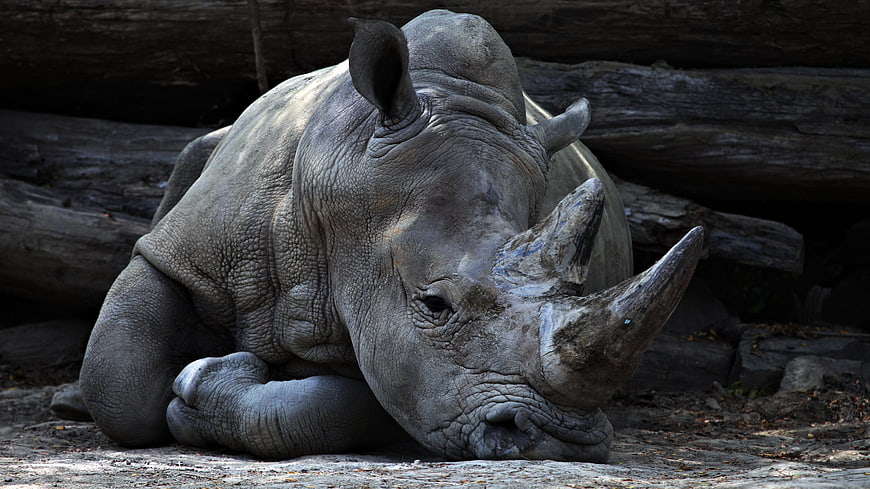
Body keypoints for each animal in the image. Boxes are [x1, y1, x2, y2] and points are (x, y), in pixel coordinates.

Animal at [76, 9, 703, 462]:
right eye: (434, 304)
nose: (558, 441)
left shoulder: (406, 355)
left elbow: (361, 401)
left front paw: (207, 385)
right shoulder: (185, 253)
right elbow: (117, 382)